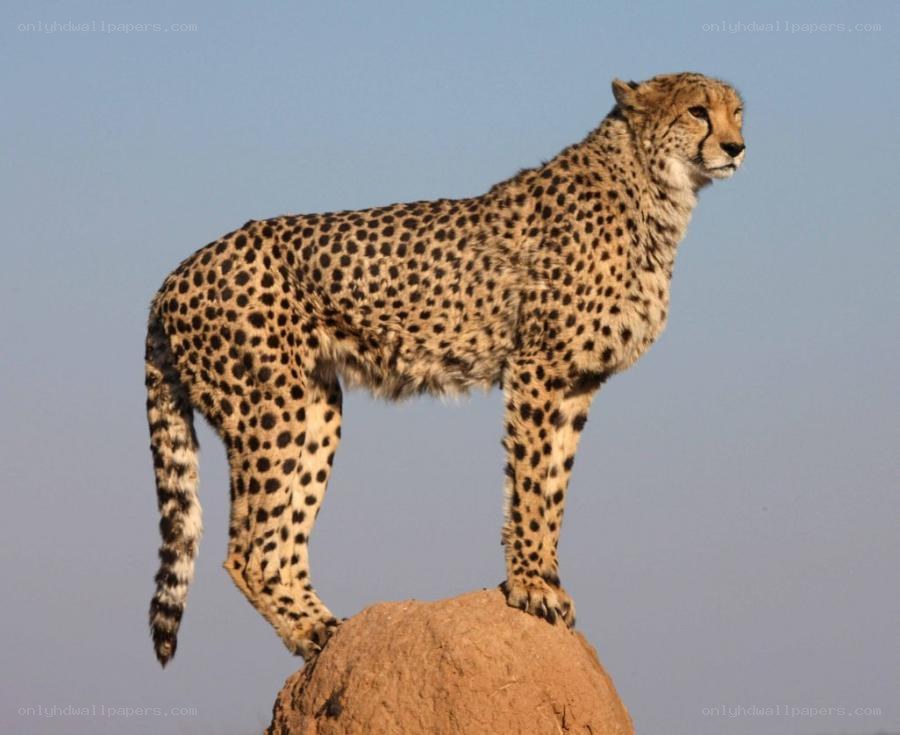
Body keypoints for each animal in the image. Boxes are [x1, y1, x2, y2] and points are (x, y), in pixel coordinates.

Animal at [145, 72, 745, 666]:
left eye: (738, 112)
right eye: (697, 111)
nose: (736, 147)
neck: (653, 188)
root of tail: (174, 274)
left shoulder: (577, 381)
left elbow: (555, 487)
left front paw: (547, 579)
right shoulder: (536, 366)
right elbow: (530, 480)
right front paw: (531, 585)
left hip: (317, 406)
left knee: (281, 540)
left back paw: (328, 632)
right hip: (270, 409)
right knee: (247, 550)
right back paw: (315, 631)